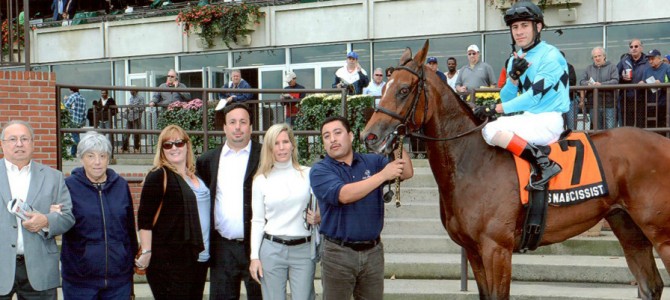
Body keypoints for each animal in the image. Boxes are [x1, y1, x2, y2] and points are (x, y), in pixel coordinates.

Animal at [362, 39, 670, 300]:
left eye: (404, 90)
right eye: (384, 88)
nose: (369, 136)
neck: (472, 161)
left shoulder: (496, 249)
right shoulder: (474, 251)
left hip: (662, 235)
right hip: (629, 229)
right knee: (650, 286)